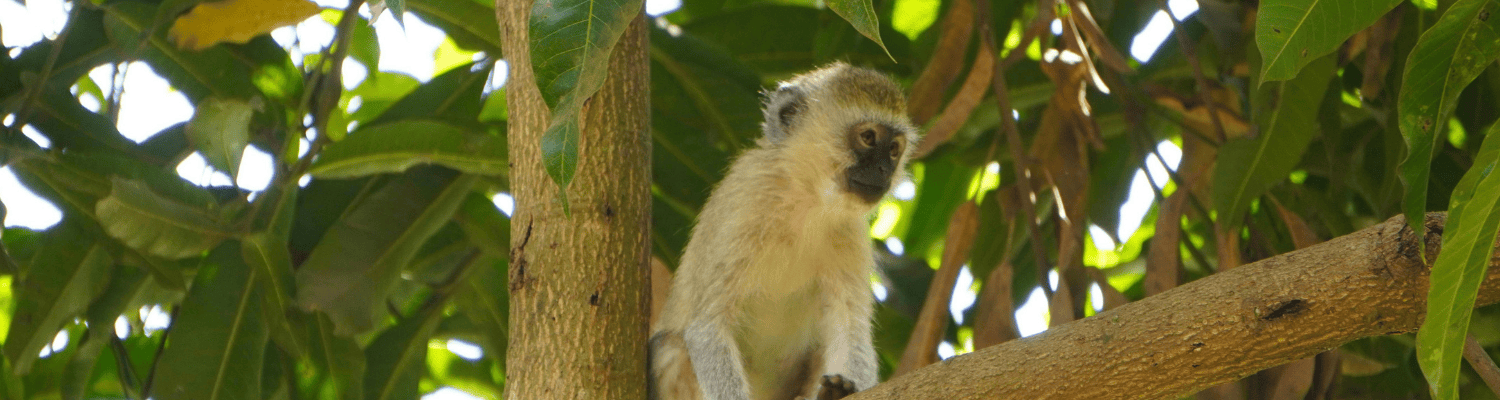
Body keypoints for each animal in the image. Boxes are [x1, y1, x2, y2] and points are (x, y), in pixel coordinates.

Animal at [649, 62, 918, 400]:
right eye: (869, 137)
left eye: (894, 149)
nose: (884, 170)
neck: (806, 201)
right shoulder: (744, 202)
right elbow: (708, 325)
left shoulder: (850, 234)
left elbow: (850, 325)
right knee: (670, 347)